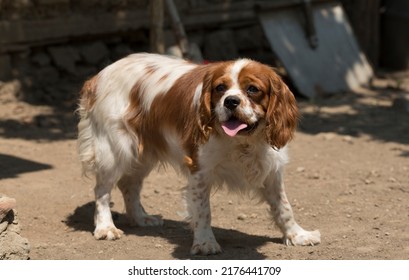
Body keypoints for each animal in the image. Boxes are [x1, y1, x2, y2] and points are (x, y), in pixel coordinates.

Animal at [75, 51, 318, 255]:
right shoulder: (199, 171)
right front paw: (205, 243)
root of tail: (100, 74)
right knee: (102, 190)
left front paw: (297, 235)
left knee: (129, 185)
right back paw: (106, 227)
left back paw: (141, 218)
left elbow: (283, 206)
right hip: (115, 150)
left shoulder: (271, 170)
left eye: (252, 89)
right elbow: (203, 211)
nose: (230, 101)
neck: (243, 141)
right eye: (220, 88)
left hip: (143, 154)